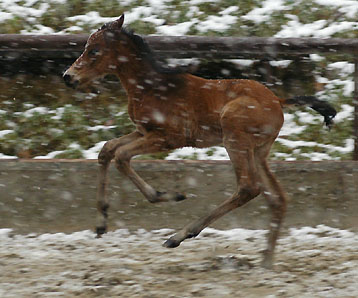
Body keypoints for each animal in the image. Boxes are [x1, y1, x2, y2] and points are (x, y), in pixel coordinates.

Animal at [63, 15, 336, 268]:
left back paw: (179, 236)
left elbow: (121, 157)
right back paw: (266, 260)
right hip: (258, 151)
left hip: (234, 138)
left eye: (94, 50)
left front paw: (168, 195)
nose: (68, 77)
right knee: (277, 197)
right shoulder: (143, 132)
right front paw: (101, 224)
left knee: (249, 187)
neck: (152, 88)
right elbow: (107, 150)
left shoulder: (169, 138)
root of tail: (279, 101)